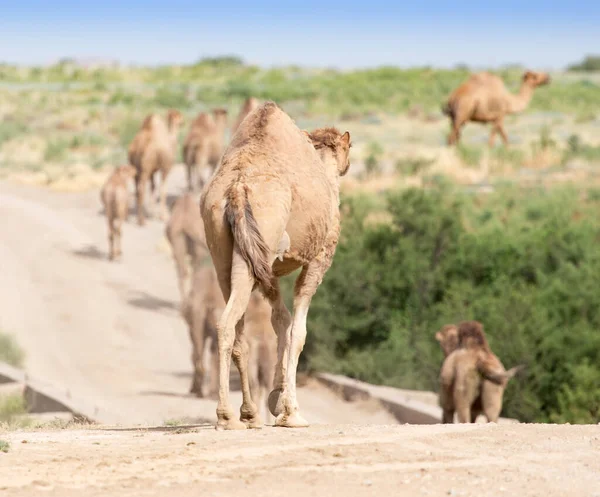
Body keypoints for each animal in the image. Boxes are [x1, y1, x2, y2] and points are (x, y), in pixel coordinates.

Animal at [202, 99, 352, 428]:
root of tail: (237, 188)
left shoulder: (268, 270)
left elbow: (281, 322)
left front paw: (275, 399)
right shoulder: (318, 259)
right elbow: (298, 332)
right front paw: (290, 411)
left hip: (222, 248)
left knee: (236, 327)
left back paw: (247, 412)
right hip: (259, 236)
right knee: (229, 321)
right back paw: (226, 415)